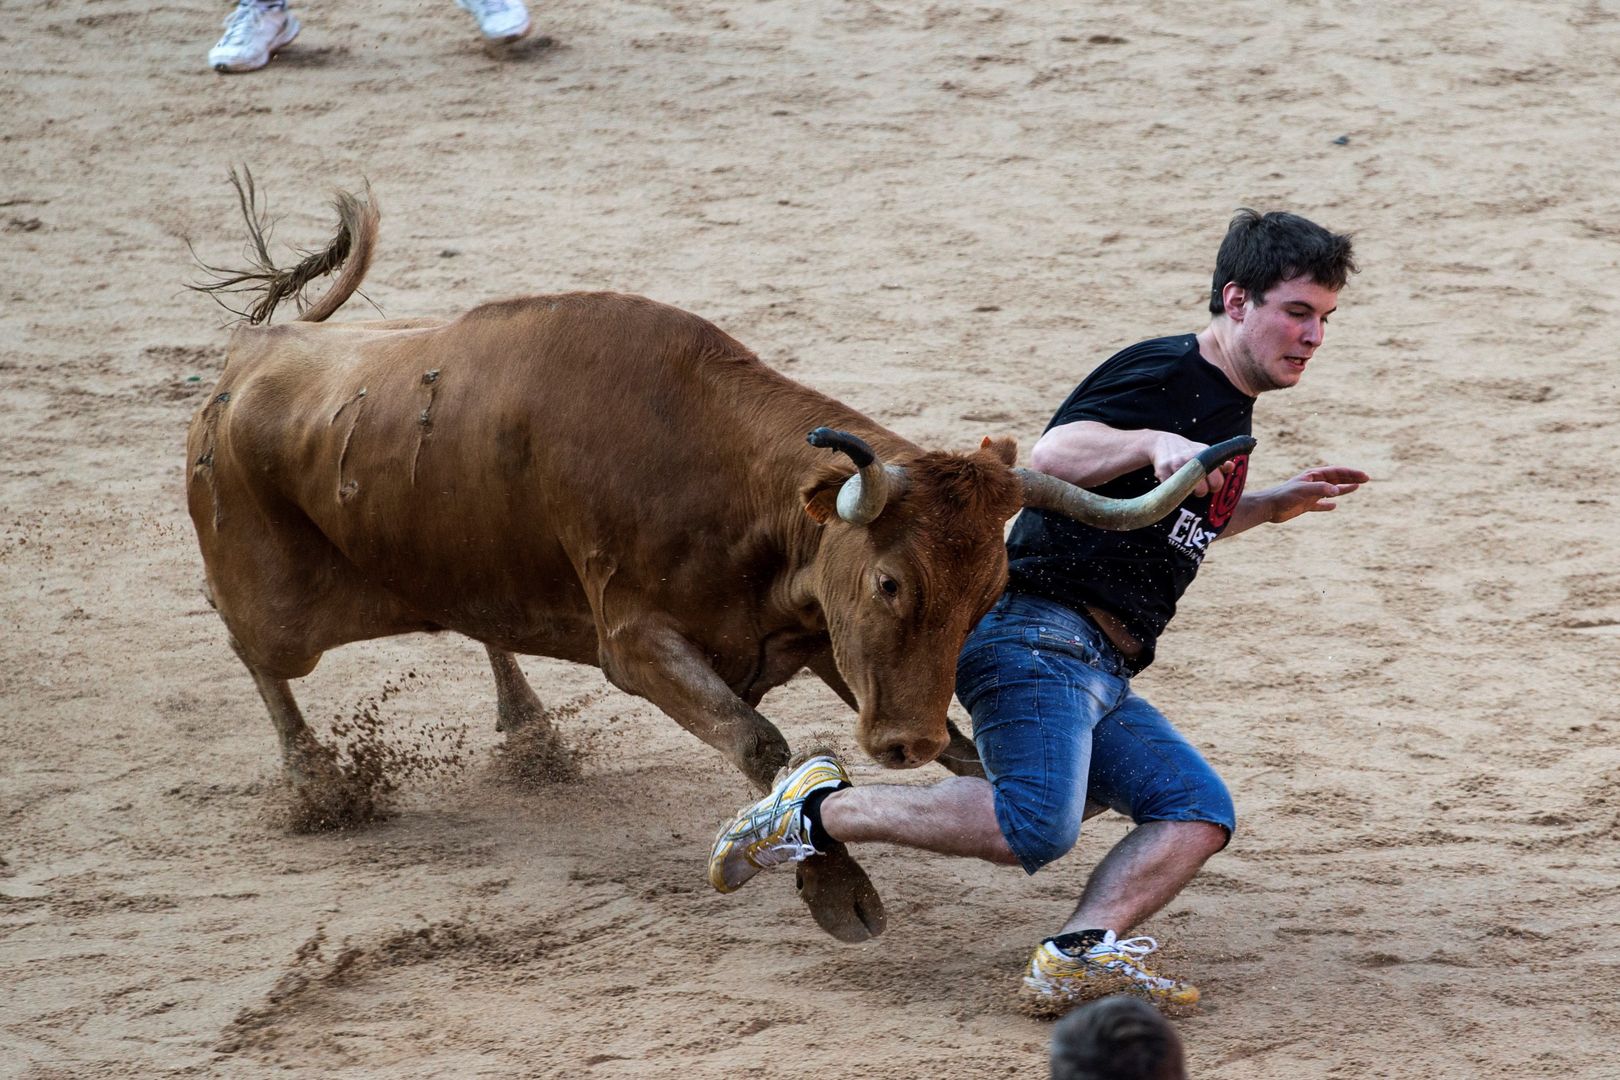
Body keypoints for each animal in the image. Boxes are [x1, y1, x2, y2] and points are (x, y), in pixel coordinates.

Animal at [189, 175, 1250, 939]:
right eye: (890, 579)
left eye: (991, 592)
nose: (902, 744)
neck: (731, 487)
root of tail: (255, 351)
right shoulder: (637, 645)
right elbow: (762, 745)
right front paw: (836, 891)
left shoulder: (818, 638)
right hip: (279, 606)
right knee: (254, 649)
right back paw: (317, 785)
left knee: (479, 620)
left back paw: (531, 733)